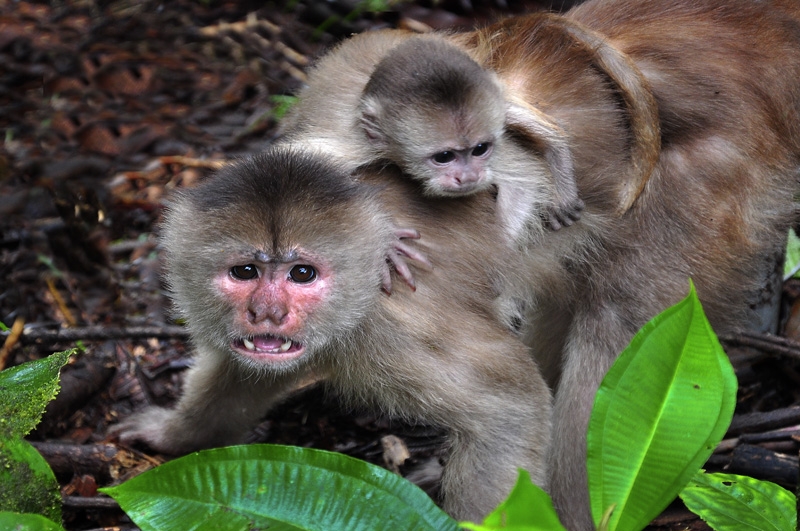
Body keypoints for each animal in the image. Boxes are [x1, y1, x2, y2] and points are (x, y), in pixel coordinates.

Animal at [119, 145, 552, 524]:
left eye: (302, 273)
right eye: (245, 271)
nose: (268, 313)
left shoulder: (390, 325)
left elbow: (509, 409)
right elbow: (238, 381)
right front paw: (172, 435)